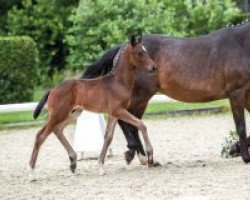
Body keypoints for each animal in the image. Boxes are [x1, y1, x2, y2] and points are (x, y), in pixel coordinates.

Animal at [28, 34, 156, 178]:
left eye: (146, 51)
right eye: (140, 53)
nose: (154, 67)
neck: (118, 82)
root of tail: (52, 89)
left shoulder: (113, 113)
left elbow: (108, 137)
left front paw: (100, 166)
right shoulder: (119, 110)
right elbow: (141, 124)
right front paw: (150, 155)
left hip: (73, 113)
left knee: (58, 130)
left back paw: (73, 163)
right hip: (58, 114)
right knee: (41, 135)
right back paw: (31, 172)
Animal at [82, 22, 250, 166]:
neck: (242, 45)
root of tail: (122, 48)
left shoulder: (247, 94)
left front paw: (235, 149)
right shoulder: (237, 93)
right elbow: (241, 126)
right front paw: (245, 157)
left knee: (131, 123)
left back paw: (136, 154)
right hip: (140, 97)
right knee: (129, 122)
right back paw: (143, 156)